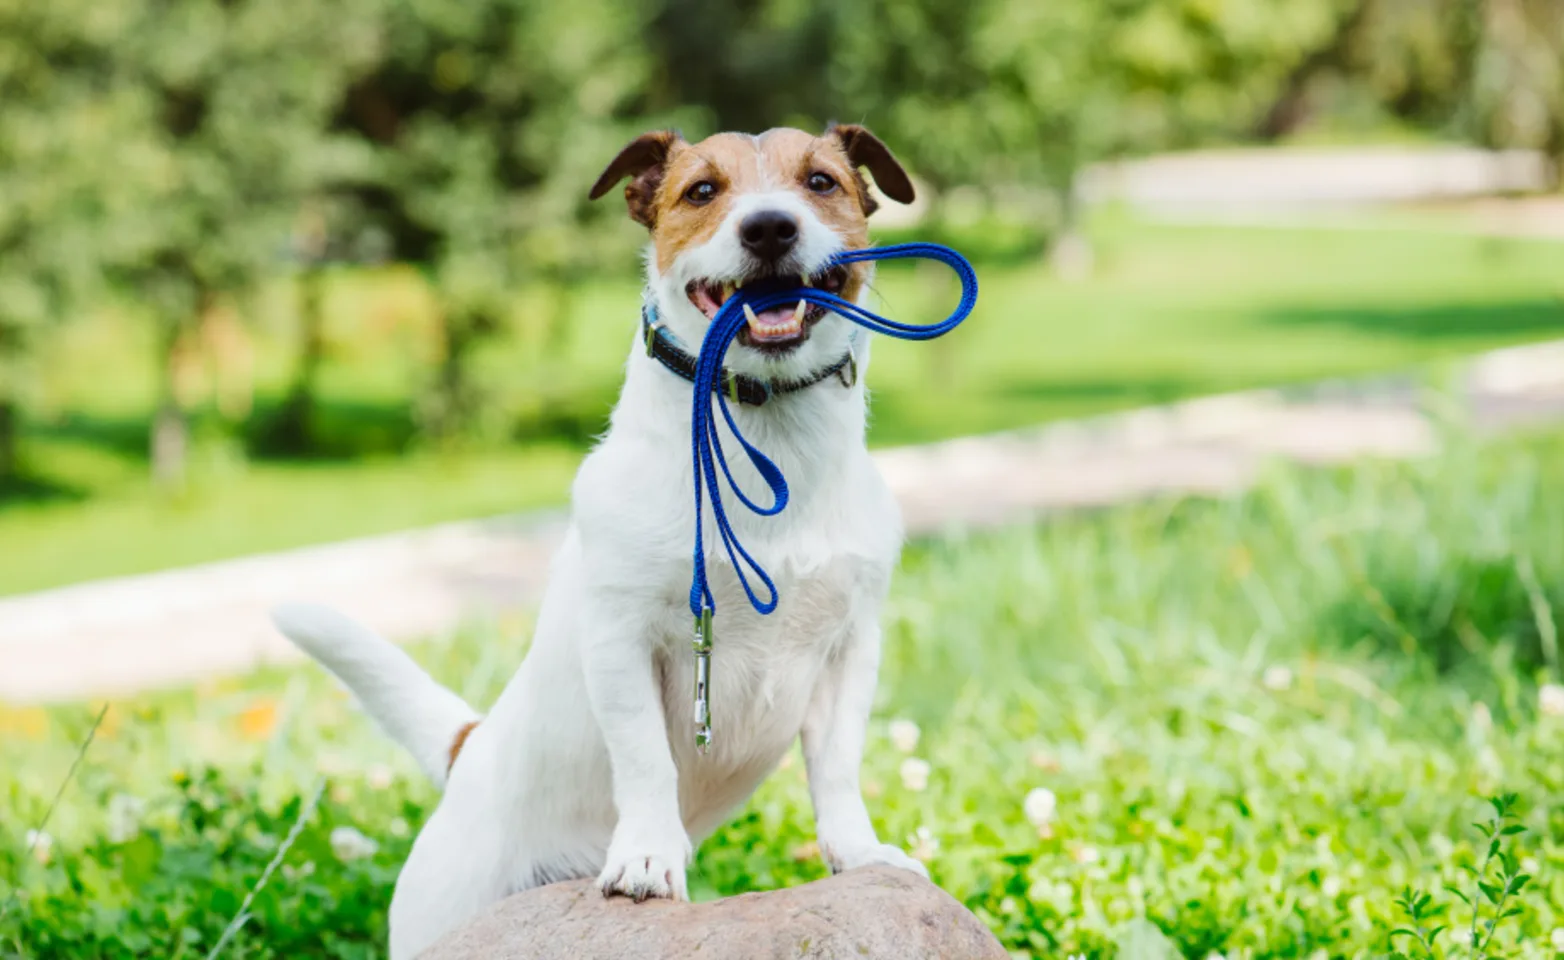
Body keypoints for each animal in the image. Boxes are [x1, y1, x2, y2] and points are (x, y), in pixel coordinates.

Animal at [273, 124, 925, 956]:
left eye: (820, 182)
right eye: (702, 191)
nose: (770, 227)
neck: (765, 436)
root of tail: (470, 750)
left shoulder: (850, 648)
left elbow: (837, 766)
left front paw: (858, 852)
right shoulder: (622, 638)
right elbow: (645, 758)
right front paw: (647, 855)